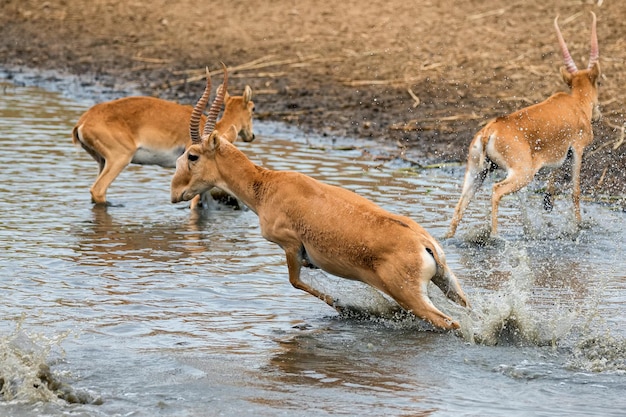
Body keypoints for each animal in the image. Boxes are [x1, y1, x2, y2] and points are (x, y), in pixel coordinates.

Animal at [73, 67, 256, 208]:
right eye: (253, 108)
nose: (251, 136)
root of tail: (83, 121)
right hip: (120, 159)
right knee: (98, 190)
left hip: (102, 161)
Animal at [171, 68, 468, 330]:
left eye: (192, 156)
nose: (175, 193)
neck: (267, 186)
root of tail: (424, 243)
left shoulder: (291, 246)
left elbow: (296, 282)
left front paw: (351, 308)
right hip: (448, 283)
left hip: (413, 298)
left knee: (450, 323)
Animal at [444, 12, 600, 237]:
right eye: (599, 82)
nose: (597, 113)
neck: (575, 105)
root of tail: (489, 131)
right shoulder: (578, 149)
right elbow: (575, 191)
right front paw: (578, 226)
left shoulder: (561, 155)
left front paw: (547, 202)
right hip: (521, 174)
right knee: (496, 191)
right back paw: (495, 236)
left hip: (476, 173)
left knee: (460, 207)